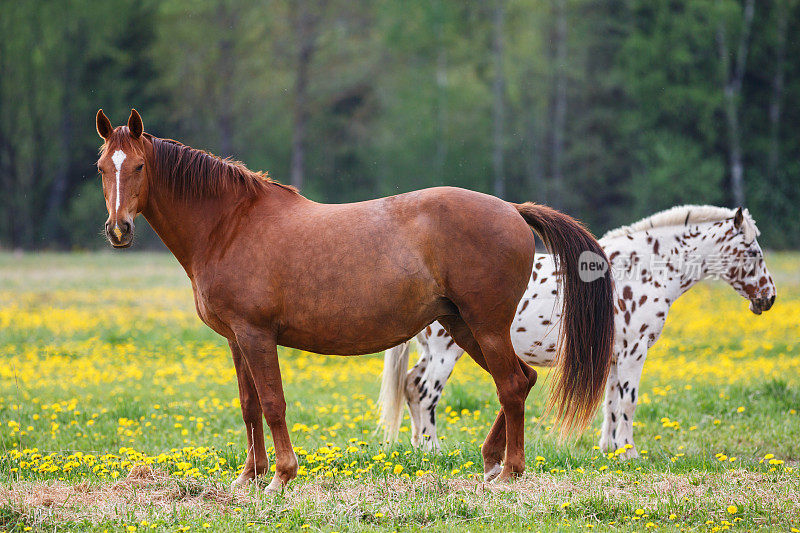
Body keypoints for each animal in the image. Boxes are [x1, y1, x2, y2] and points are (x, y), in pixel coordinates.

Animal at [97, 108, 616, 490]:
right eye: (102, 168)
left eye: (139, 166)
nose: (118, 230)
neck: (229, 225)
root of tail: (512, 209)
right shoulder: (235, 339)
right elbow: (248, 405)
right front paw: (249, 476)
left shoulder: (256, 335)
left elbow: (272, 402)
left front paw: (281, 477)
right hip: (464, 326)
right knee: (522, 381)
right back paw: (492, 462)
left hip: (485, 326)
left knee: (510, 385)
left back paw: (508, 472)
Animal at [380, 204, 776, 458]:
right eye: (753, 251)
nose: (768, 298)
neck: (642, 270)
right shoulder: (633, 353)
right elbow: (628, 402)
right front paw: (629, 454)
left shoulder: (615, 358)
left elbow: (611, 404)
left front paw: (610, 450)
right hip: (446, 352)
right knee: (424, 392)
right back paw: (433, 450)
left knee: (411, 387)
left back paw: (420, 449)